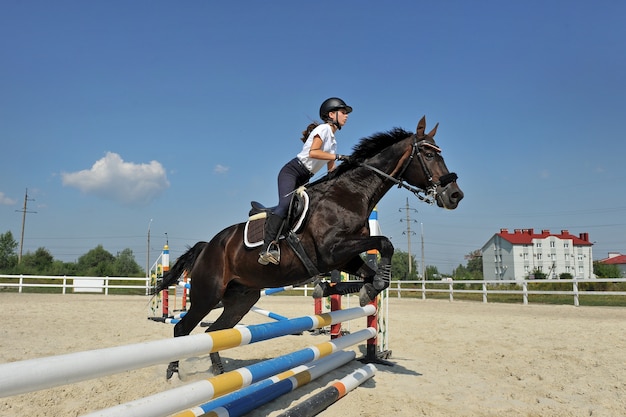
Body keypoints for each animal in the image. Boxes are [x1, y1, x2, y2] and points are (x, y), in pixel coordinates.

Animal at [154, 114, 460, 376]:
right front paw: (344, 288)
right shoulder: (332, 250)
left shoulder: (344, 259)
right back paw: (173, 372)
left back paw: (218, 371)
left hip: (242, 298)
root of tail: (208, 246)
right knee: (183, 329)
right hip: (208, 294)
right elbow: (385, 244)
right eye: (429, 154)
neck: (349, 194)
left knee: (215, 332)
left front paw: (355, 289)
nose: (455, 195)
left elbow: (372, 275)